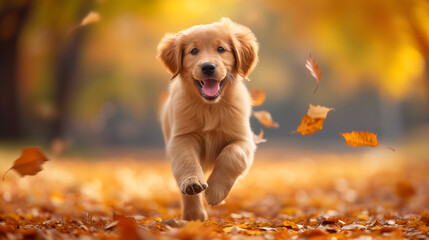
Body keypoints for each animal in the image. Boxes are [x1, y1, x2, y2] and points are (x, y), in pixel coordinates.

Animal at [157, 17, 258, 221]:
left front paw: (215, 193)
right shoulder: (181, 138)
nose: (208, 67)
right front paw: (192, 183)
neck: (210, 107)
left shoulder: (244, 140)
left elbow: (232, 155)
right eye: (194, 51)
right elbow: (187, 161)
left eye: (221, 49)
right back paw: (193, 215)